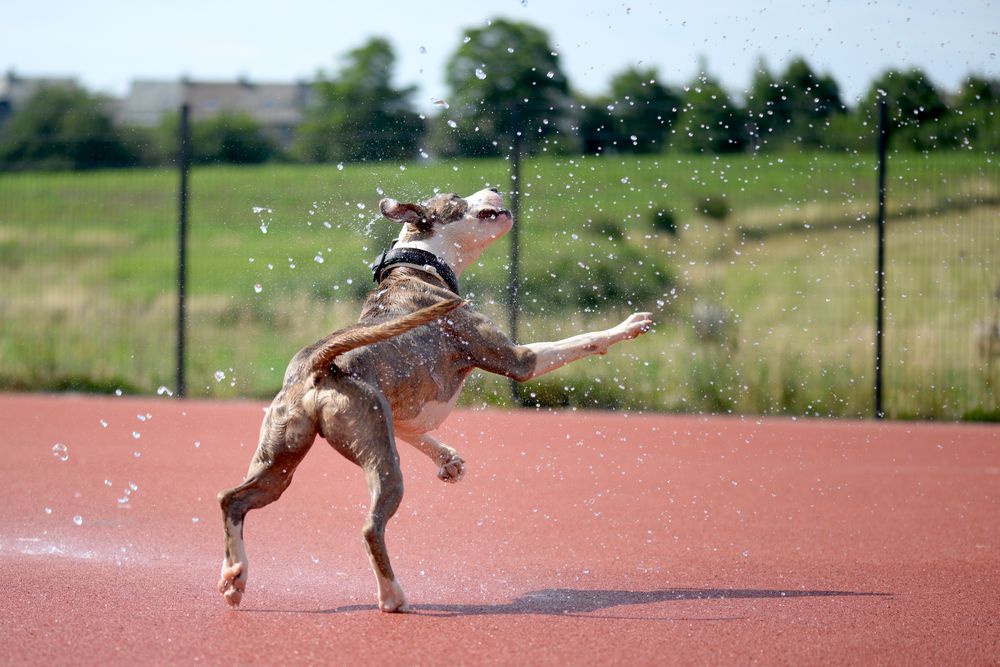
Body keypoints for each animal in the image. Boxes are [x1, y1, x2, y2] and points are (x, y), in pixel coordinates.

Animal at [219, 185, 656, 612]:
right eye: (458, 197)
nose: (494, 186)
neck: (418, 263)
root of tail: (319, 365)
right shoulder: (518, 360)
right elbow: (583, 341)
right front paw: (628, 326)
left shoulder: (400, 406)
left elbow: (416, 432)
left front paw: (448, 460)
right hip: (381, 464)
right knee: (371, 527)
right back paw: (392, 597)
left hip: (279, 461)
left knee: (231, 500)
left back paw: (234, 578)